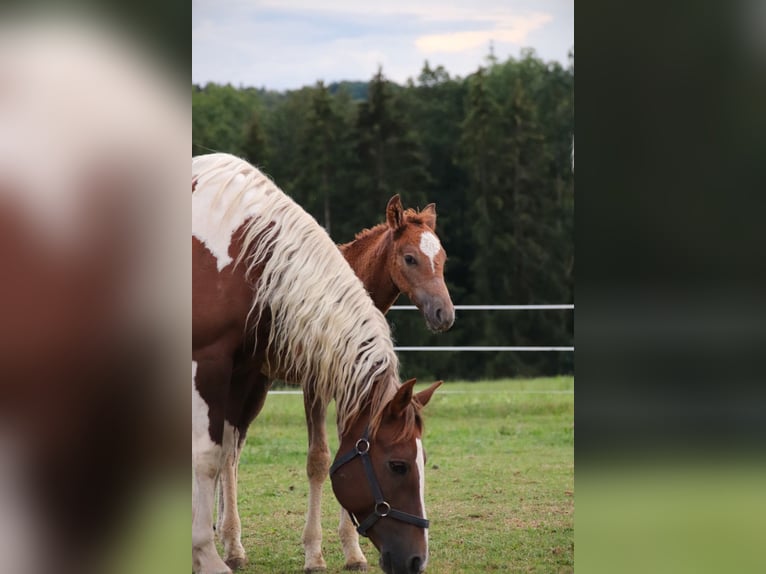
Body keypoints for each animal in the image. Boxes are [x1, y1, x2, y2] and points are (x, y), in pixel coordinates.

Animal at [194, 153, 444, 574]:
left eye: (442, 259)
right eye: (410, 258)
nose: (445, 313)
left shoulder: (346, 381)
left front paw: (352, 551)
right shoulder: (314, 383)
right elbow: (318, 459)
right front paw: (314, 552)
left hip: (251, 382)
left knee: (232, 449)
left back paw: (225, 533)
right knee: (228, 454)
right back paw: (229, 540)